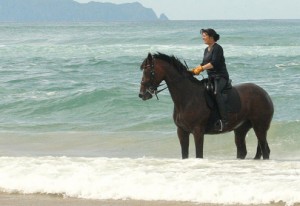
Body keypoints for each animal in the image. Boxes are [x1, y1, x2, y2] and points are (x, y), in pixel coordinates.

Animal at [138, 52, 274, 159]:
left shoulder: (198, 131)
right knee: (243, 151)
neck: (187, 97)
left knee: (265, 151)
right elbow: (184, 155)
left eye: (149, 71)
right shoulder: (182, 132)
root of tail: (265, 93)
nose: (142, 94)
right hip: (240, 129)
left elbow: (199, 155)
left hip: (260, 127)